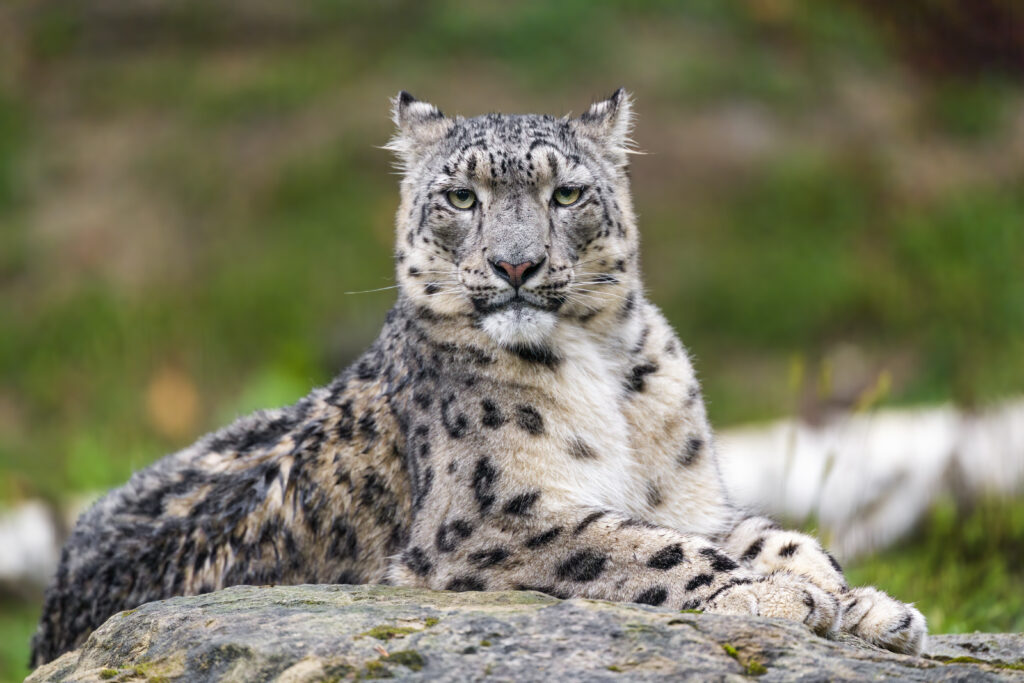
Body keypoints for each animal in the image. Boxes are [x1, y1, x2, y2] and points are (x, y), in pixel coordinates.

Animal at [30, 89, 926, 668]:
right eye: (460, 196)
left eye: (567, 192)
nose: (516, 262)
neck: (608, 379)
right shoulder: (495, 514)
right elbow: (645, 545)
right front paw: (780, 599)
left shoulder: (691, 496)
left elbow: (774, 534)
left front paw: (865, 603)